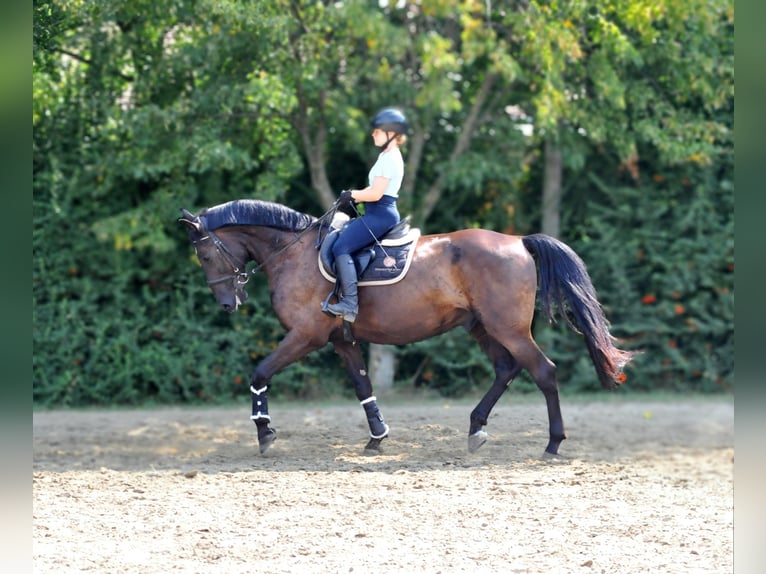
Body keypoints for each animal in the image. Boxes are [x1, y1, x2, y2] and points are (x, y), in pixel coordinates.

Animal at [178, 200, 636, 456]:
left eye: (204, 255)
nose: (228, 303)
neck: (295, 253)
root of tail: (518, 241)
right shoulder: (341, 341)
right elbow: (363, 387)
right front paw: (377, 436)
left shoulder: (305, 336)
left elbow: (260, 373)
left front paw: (264, 431)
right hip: (483, 327)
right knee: (507, 369)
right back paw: (476, 429)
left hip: (508, 329)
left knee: (544, 372)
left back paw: (553, 443)